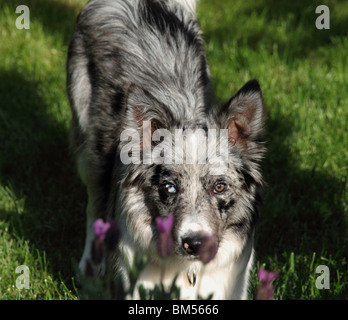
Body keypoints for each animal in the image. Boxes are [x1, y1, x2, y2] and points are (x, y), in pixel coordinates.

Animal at [66, 0, 266, 300]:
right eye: (169, 188)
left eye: (219, 187)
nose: (194, 243)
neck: (187, 271)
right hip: (89, 152)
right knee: (95, 205)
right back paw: (91, 265)